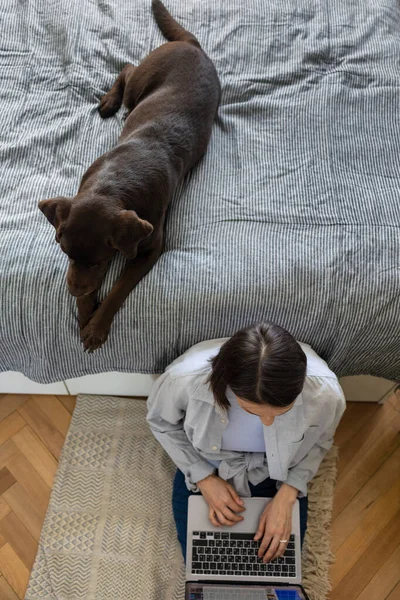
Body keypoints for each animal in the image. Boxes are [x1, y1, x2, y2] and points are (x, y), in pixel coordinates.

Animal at [38, 0, 220, 352]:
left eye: (98, 261)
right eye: (64, 252)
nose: (73, 292)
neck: (111, 185)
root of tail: (191, 44)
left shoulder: (150, 248)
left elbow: (119, 288)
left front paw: (96, 326)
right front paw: (85, 311)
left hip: (145, 80)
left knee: (127, 65)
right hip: (140, 85)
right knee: (127, 67)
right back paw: (110, 103)